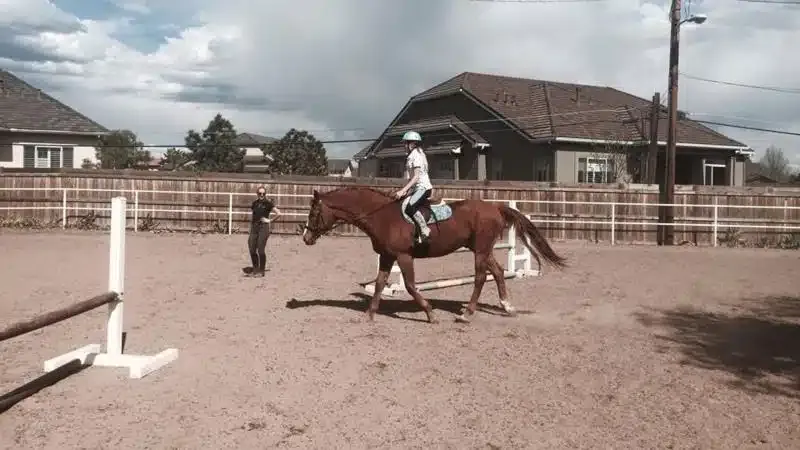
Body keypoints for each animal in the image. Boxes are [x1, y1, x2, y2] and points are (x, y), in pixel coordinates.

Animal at [300, 185, 568, 324]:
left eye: (314, 213)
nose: (306, 238)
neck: (381, 215)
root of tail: (495, 207)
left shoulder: (403, 256)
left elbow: (410, 286)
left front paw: (430, 313)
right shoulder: (387, 256)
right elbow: (379, 284)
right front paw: (369, 314)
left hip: (480, 250)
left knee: (481, 277)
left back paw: (467, 314)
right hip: (482, 249)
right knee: (499, 272)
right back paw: (507, 306)